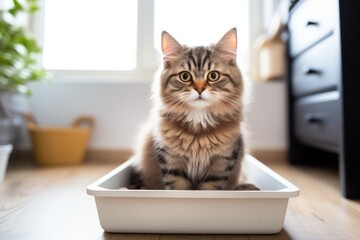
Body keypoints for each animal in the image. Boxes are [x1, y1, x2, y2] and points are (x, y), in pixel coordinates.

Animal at [129, 27, 258, 190]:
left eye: (213, 75)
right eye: (185, 76)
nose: (199, 89)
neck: (199, 124)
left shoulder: (221, 164)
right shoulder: (172, 164)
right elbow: (178, 189)